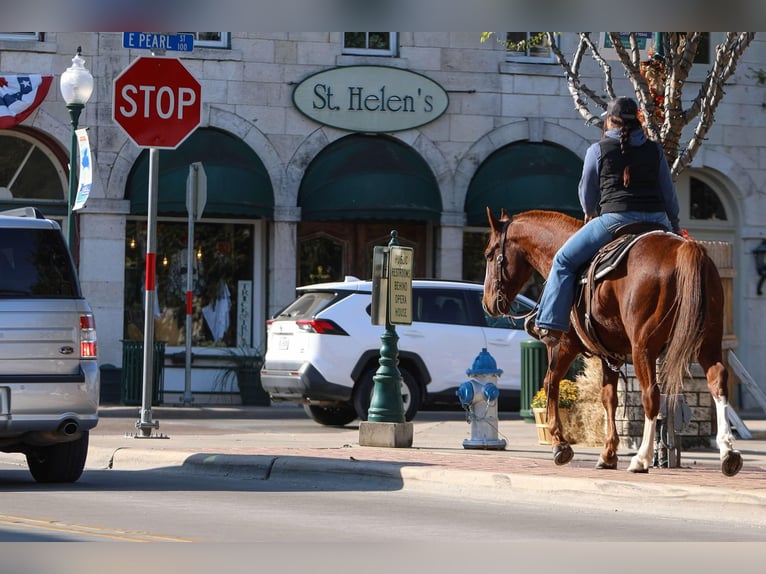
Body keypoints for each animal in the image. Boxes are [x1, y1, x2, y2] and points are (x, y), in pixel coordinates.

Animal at [486, 209, 744, 480]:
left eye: (489, 254)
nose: (488, 303)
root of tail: (684, 249)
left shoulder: (563, 344)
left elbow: (550, 383)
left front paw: (560, 444)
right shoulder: (611, 355)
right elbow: (609, 398)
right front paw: (608, 453)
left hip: (644, 347)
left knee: (651, 395)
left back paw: (641, 458)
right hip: (709, 342)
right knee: (717, 381)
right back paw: (728, 453)